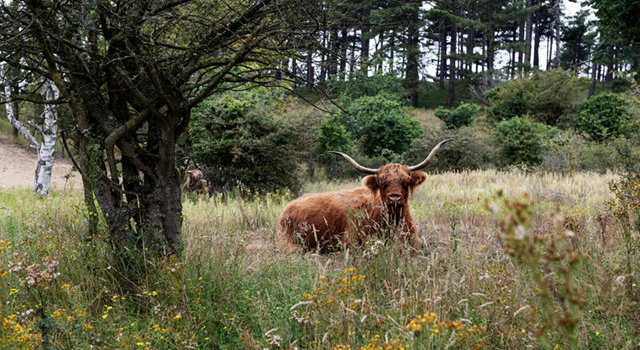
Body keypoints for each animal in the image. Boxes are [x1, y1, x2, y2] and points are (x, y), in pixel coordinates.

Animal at [274, 138, 450, 253]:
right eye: (382, 182)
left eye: (405, 182)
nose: (394, 198)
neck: (392, 221)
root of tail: (287, 209)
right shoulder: (351, 240)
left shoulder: (413, 240)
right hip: (287, 241)